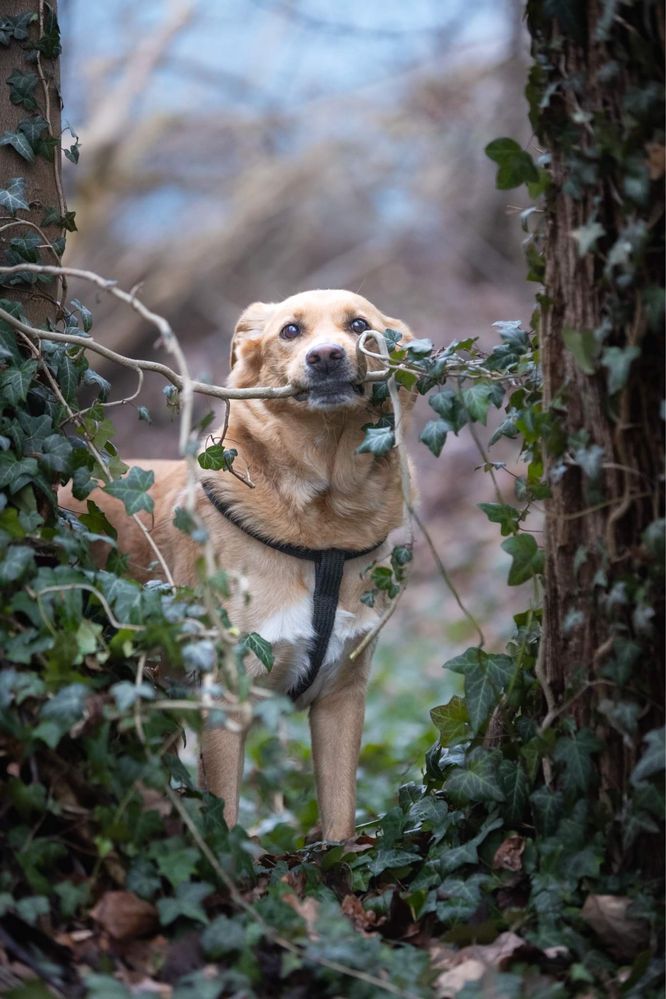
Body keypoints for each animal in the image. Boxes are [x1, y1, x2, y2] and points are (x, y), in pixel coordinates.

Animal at [61, 292, 410, 844]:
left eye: (359, 327)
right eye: (290, 331)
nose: (327, 357)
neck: (322, 525)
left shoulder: (341, 699)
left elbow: (340, 818)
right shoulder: (226, 702)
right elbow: (222, 811)